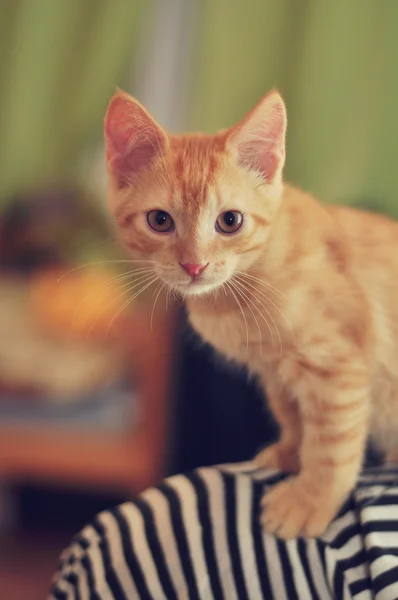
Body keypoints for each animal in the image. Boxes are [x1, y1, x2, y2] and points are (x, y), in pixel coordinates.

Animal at [103, 88, 398, 540]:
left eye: (230, 221)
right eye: (159, 220)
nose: (194, 265)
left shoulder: (337, 366)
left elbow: (332, 443)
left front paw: (311, 499)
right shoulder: (273, 370)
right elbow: (292, 415)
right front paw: (291, 453)